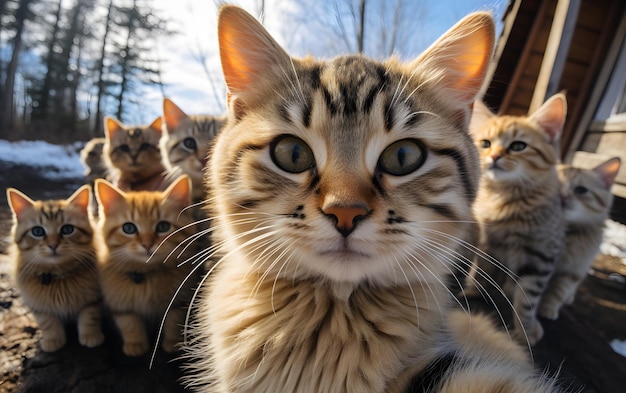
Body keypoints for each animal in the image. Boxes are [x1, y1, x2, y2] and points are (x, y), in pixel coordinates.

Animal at [6, 185, 103, 350]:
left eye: (67, 229)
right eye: (37, 231)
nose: (53, 245)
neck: (58, 275)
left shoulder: (92, 299)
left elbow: (89, 318)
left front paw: (90, 336)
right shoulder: (38, 305)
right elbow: (48, 323)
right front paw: (53, 340)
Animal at [92, 175, 197, 356]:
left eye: (163, 226)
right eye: (128, 228)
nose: (147, 244)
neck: (146, 274)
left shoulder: (179, 299)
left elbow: (173, 320)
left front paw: (173, 342)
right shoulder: (119, 301)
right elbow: (129, 323)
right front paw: (136, 344)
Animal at [468, 93, 564, 344]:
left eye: (518, 146)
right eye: (485, 144)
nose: (494, 156)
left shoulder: (540, 257)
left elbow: (528, 300)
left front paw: (526, 330)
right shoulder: (487, 245)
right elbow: (479, 272)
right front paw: (472, 290)